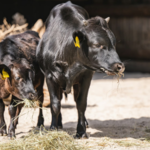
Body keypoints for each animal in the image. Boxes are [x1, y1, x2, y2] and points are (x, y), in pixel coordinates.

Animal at [36, 1, 124, 139]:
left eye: (114, 44)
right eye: (97, 45)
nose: (119, 66)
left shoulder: (86, 76)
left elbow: (81, 103)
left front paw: (81, 131)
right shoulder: (50, 77)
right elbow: (55, 104)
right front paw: (53, 129)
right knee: (48, 99)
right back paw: (50, 124)